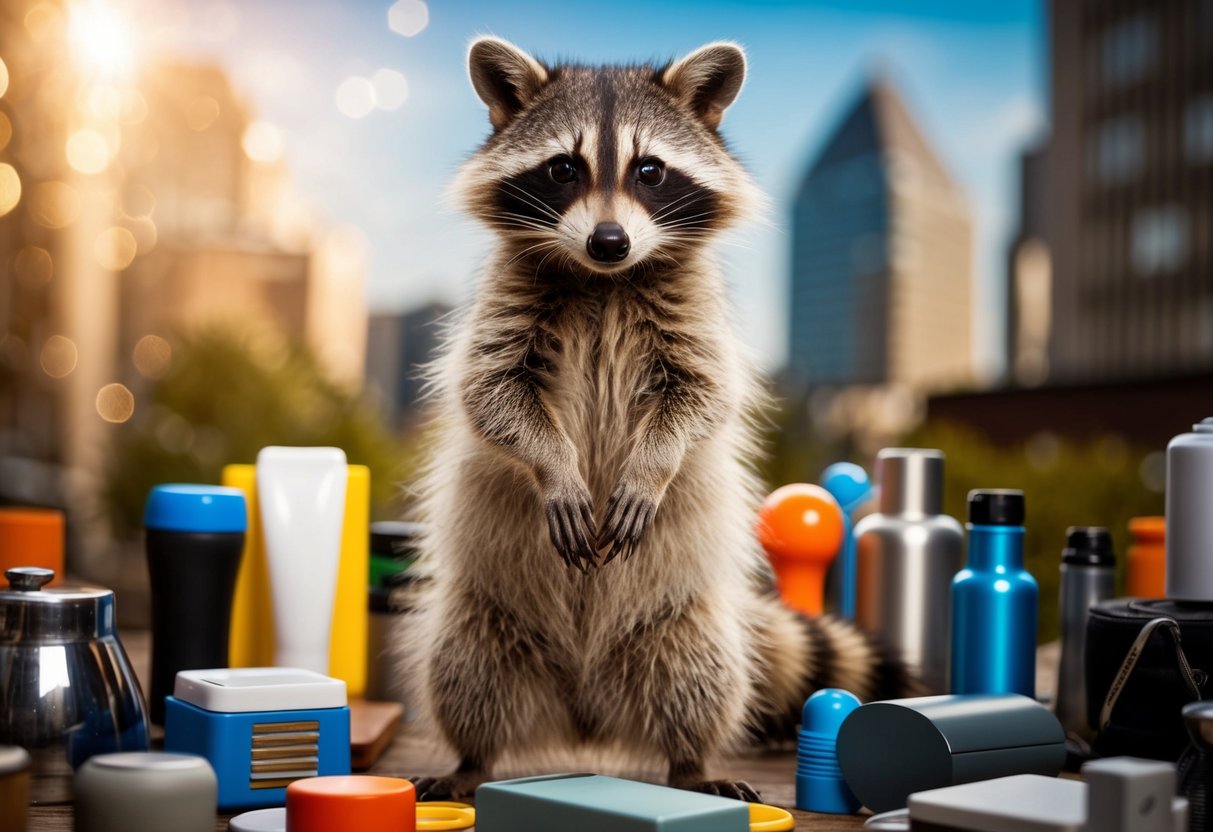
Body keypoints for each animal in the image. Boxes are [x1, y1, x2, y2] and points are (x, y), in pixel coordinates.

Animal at [400, 37, 916, 801]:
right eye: (563, 169)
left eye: (650, 170)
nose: (609, 240)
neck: (604, 281)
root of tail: (585, 717)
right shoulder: (506, 301)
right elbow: (491, 391)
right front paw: (554, 465)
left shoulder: (694, 315)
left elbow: (703, 396)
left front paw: (653, 464)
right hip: (481, 620)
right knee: (466, 674)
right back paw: (472, 758)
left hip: (684, 626)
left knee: (701, 680)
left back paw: (691, 761)